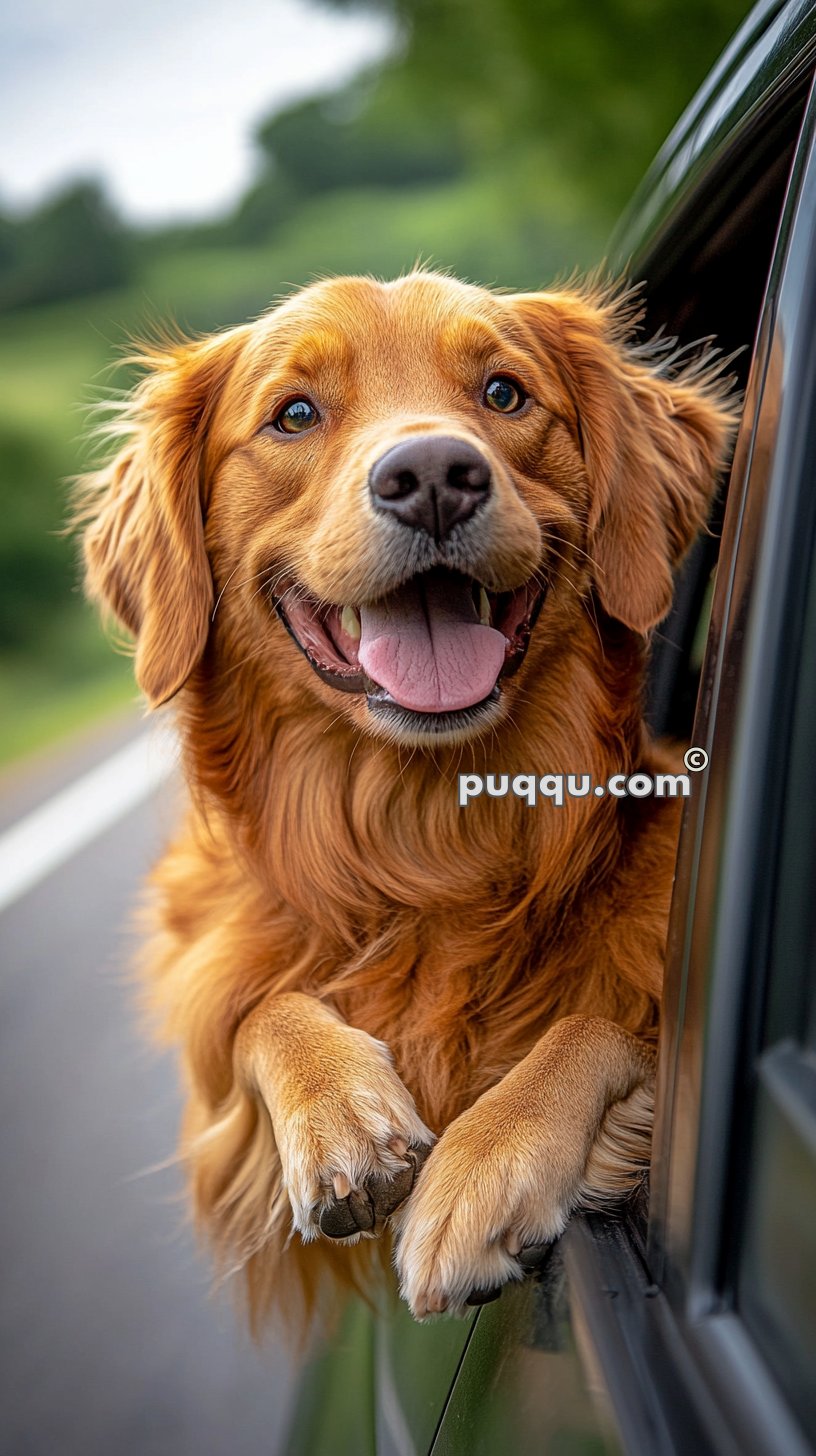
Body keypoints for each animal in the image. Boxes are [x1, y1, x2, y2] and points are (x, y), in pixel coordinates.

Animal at [76, 267, 737, 1327]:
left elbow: (600, 1024)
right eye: (295, 414)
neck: (426, 838)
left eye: (505, 393)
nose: (431, 474)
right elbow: (263, 1009)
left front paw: (483, 1168)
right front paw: (340, 1114)